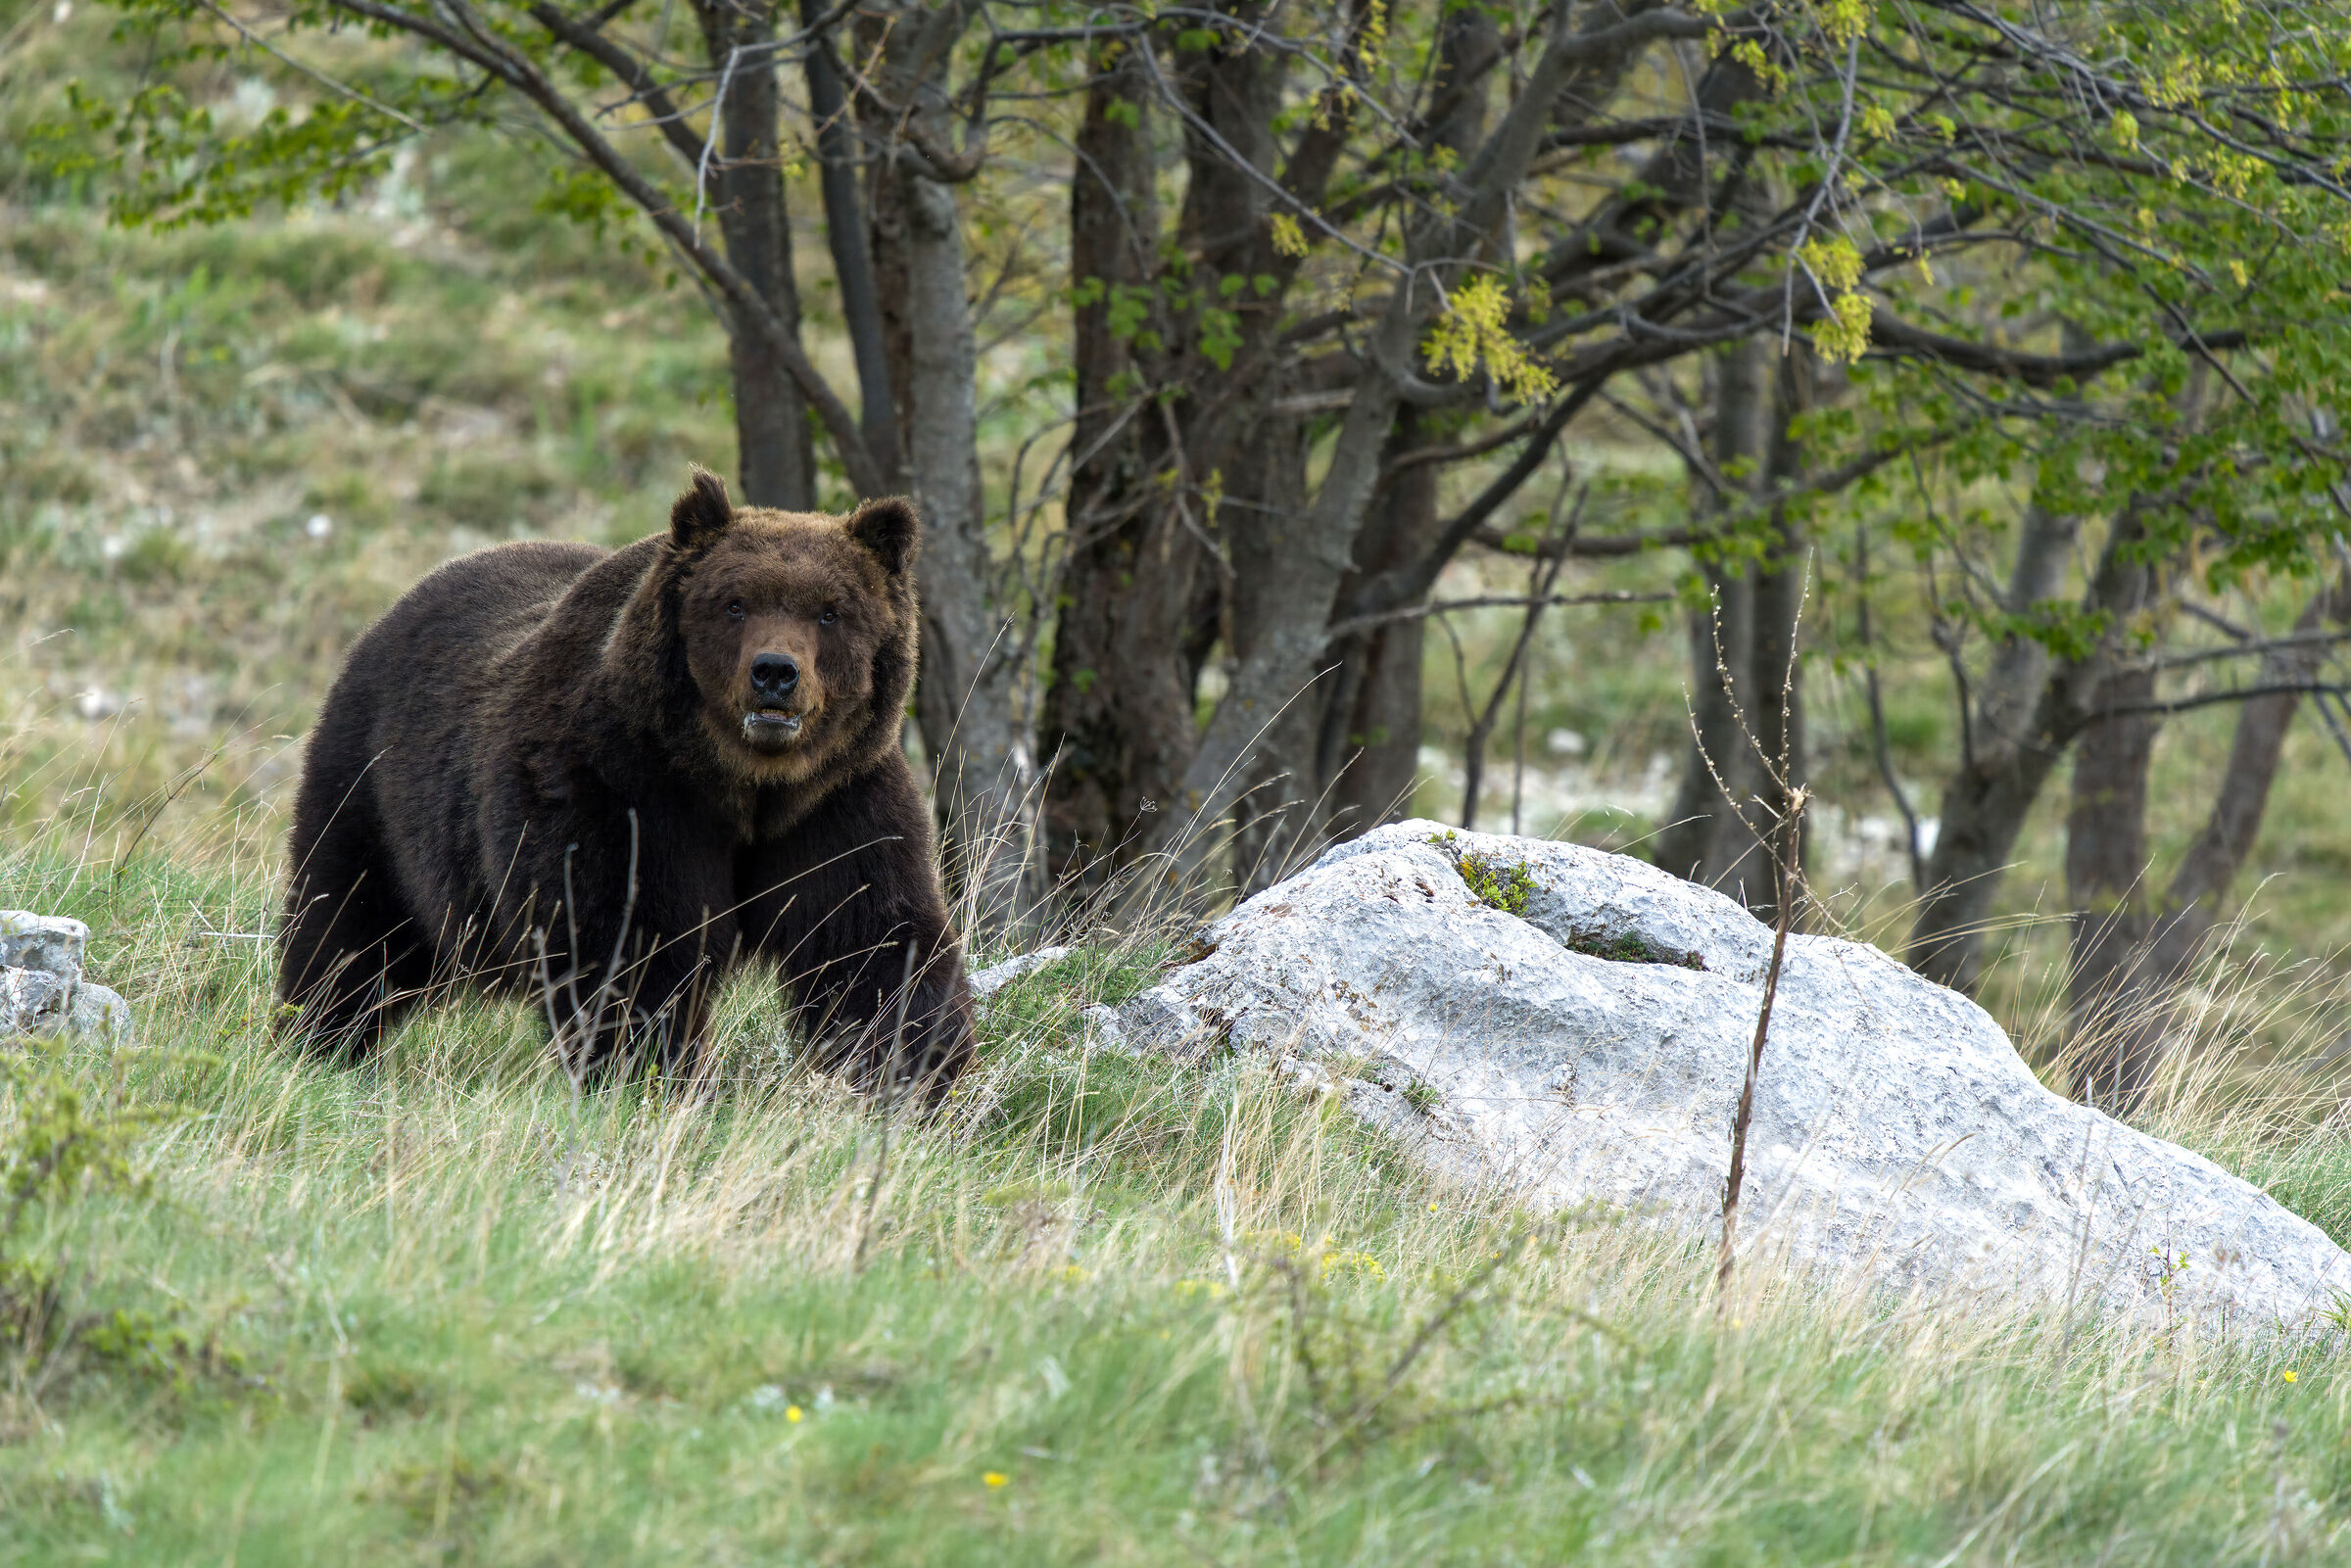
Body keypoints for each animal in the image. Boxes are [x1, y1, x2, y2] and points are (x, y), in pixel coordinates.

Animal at [275, 468, 974, 1097]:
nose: (775, 672)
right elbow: (631, 944)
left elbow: (873, 942)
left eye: (831, 612)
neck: (744, 783)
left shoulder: (835, 806)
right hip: (376, 789)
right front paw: (650, 1074)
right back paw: (317, 1039)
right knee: (349, 925)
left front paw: (921, 1082)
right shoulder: (620, 789)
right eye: (735, 603)